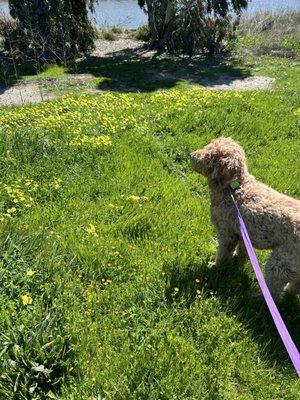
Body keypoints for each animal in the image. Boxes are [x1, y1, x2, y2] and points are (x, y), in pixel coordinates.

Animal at [190, 138, 300, 300]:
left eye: (209, 154)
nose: (191, 155)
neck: (234, 188)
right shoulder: (242, 232)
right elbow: (242, 249)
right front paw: (238, 258)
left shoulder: (226, 233)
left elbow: (223, 254)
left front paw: (215, 266)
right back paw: (288, 292)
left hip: (281, 262)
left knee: (274, 289)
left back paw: (256, 297)